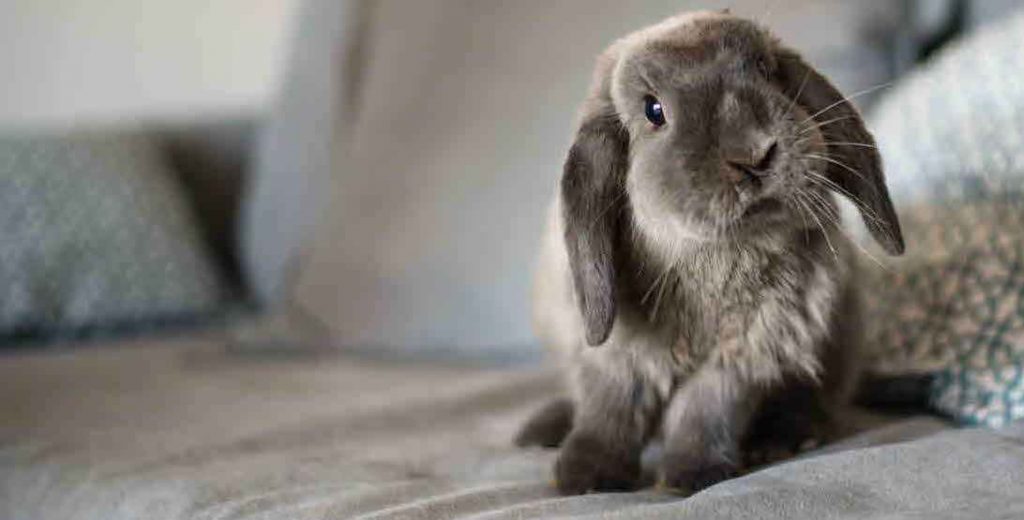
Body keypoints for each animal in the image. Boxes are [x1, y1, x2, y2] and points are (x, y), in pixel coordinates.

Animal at [515, 11, 905, 496]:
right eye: (653, 110)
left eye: (765, 69)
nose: (754, 154)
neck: (713, 256)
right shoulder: (616, 355)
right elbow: (611, 408)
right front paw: (584, 477)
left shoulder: (744, 353)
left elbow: (705, 410)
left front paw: (693, 475)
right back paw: (542, 430)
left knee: (813, 400)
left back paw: (783, 439)